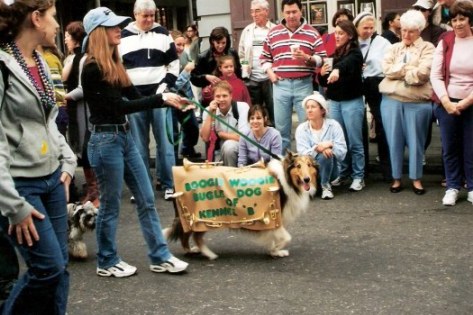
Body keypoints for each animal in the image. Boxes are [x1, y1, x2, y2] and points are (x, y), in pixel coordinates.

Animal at [165, 152, 318, 260]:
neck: (286, 181)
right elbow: (286, 238)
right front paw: (276, 251)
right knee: (195, 237)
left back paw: (192, 250)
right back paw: (209, 254)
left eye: (309, 165)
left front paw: (273, 250)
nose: (307, 179)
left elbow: (274, 237)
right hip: (203, 217)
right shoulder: (275, 218)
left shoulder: (272, 220)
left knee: (185, 236)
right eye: (298, 166)